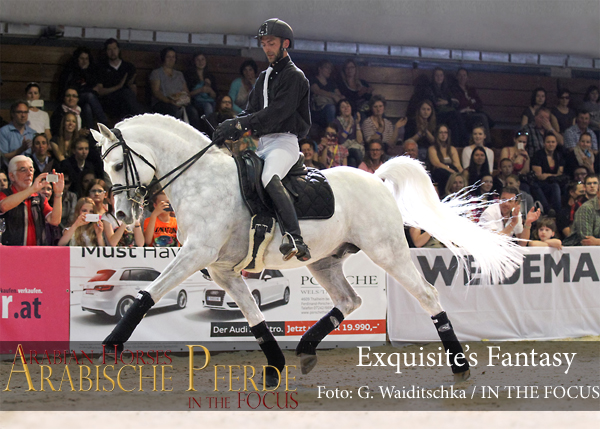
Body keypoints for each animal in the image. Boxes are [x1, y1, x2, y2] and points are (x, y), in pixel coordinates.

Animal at [91, 114, 522, 384]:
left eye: (118, 166)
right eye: (104, 167)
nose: (122, 214)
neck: (201, 179)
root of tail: (376, 179)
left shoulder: (197, 254)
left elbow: (149, 292)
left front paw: (111, 344)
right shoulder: (222, 269)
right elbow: (253, 316)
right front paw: (274, 366)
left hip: (387, 252)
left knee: (428, 295)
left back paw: (460, 367)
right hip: (324, 262)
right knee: (349, 301)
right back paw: (305, 348)